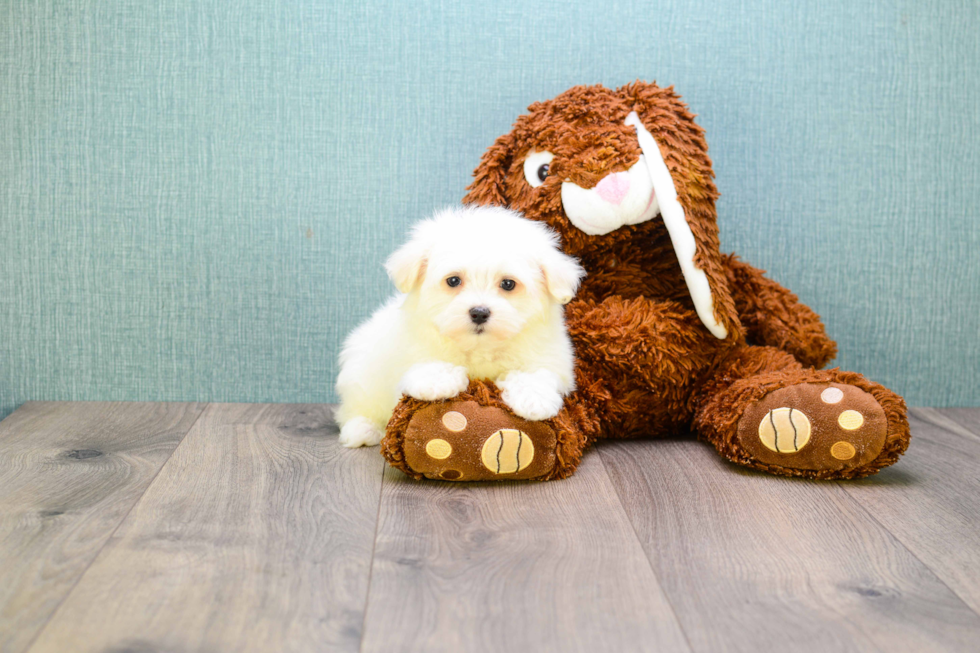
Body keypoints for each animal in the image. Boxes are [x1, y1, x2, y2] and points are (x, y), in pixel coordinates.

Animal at [334, 205, 584, 448]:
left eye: (508, 284)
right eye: (453, 280)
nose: (479, 312)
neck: (479, 347)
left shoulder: (550, 354)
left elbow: (536, 372)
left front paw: (533, 399)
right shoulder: (409, 348)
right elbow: (424, 362)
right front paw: (437, 381)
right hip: (361, 375)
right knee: (355, 408)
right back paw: (362, 429)